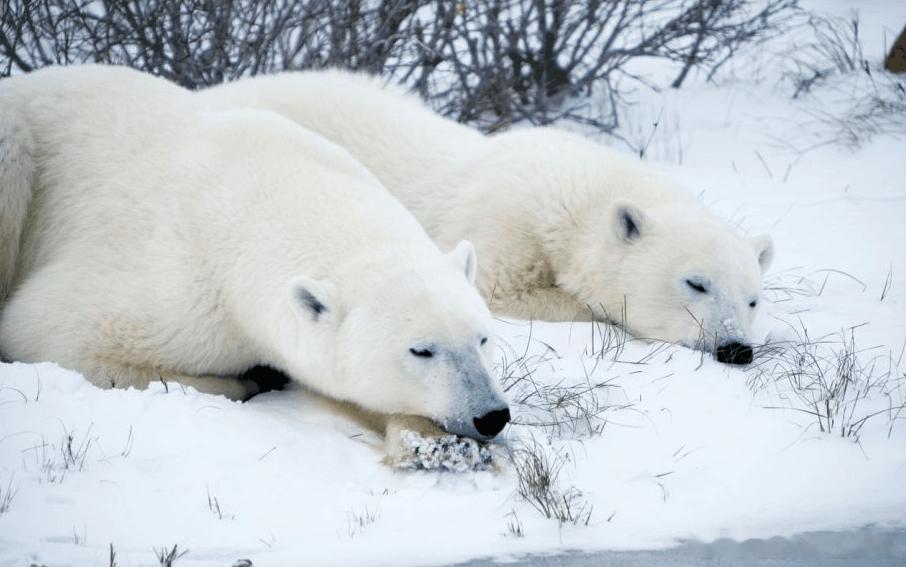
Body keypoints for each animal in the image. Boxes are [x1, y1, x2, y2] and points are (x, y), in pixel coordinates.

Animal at [0, 66, 508, 444]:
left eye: (482, 338)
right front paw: (249, 378)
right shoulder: (175, 283)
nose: (491, 415)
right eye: (421, 350)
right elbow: (52, 333)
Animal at [201, 71, 772, 364]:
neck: (570, 189)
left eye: (752, 299)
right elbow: (505, 288)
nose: (735, 348)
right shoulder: (504, 220)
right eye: (696, 282)